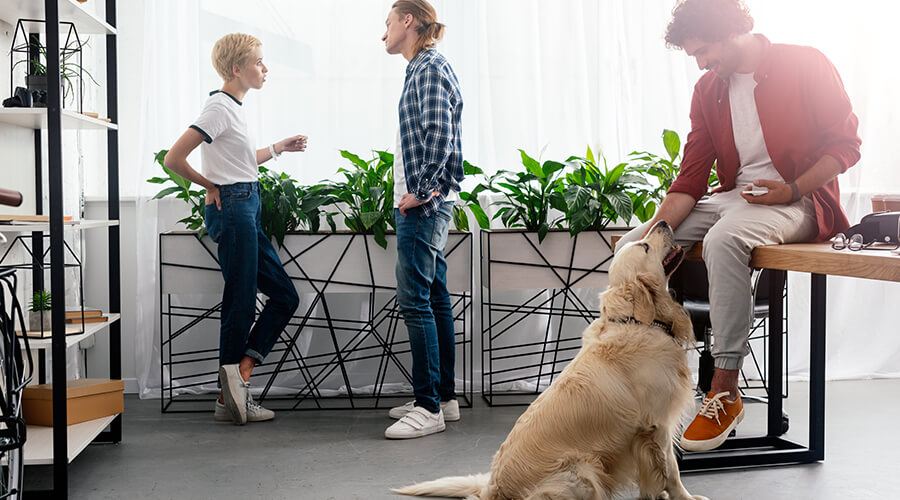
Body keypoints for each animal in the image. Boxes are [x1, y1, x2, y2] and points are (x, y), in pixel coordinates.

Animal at [398, 223, 708, 500]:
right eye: (644, 246)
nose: (664, 221)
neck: (637, 320)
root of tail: (492, 490)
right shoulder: (657, 425)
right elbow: (671, 470)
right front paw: (686, 497)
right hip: (584, 469)